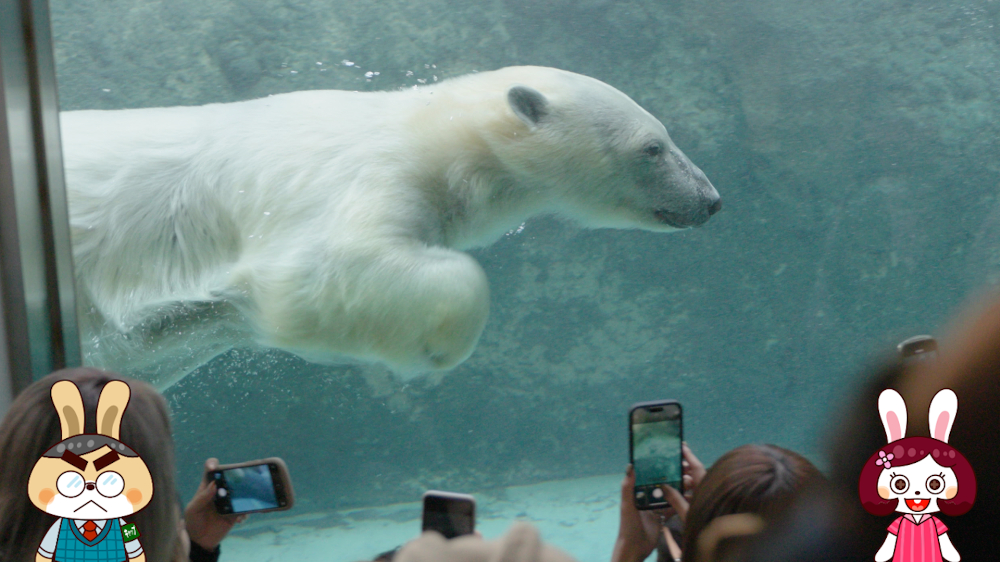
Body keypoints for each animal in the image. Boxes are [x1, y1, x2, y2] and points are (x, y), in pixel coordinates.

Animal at [62, 65, 720, 388]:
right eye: (653, 148)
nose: (711, 200)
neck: (432, 137)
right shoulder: (352, 176)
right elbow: (317, 273)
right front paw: (432, 348)